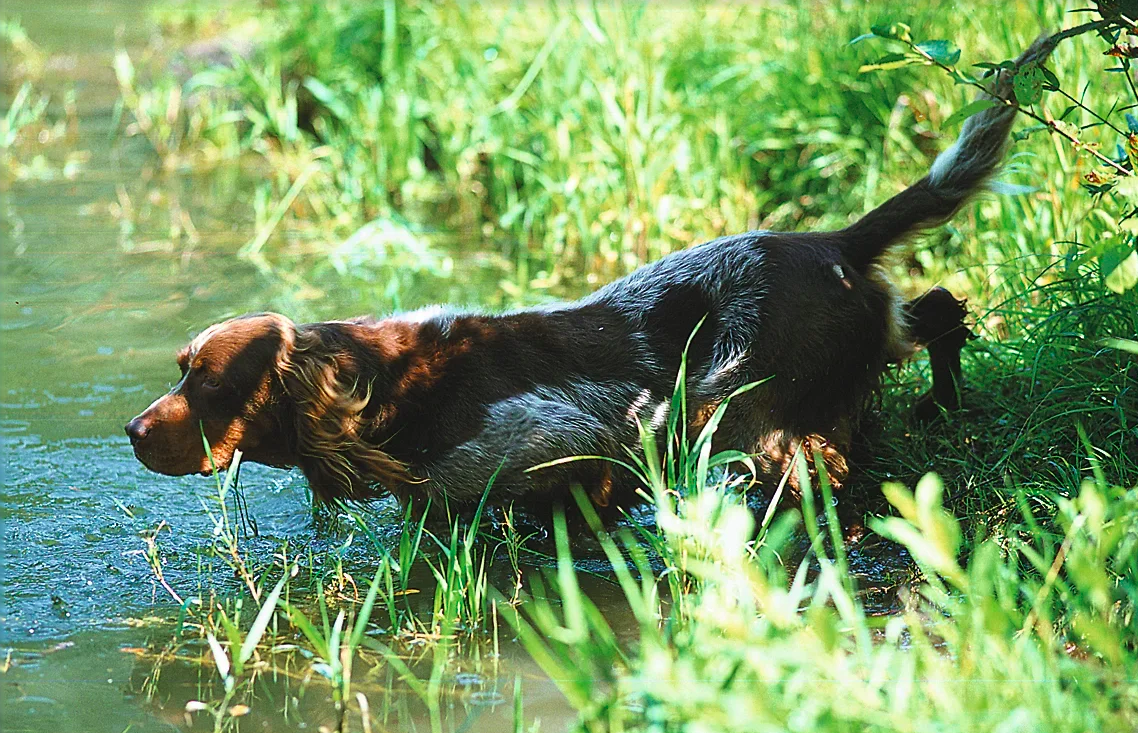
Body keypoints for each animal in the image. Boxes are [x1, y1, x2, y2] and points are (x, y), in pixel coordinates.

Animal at [129, 35, 1051, 514]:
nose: (133, 432)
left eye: (208, 383)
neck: (391, 385)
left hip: (748, 416)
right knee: (942, 309)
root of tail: (832, 241)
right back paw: (944, 404)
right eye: (179, 369)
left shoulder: (571, 453)